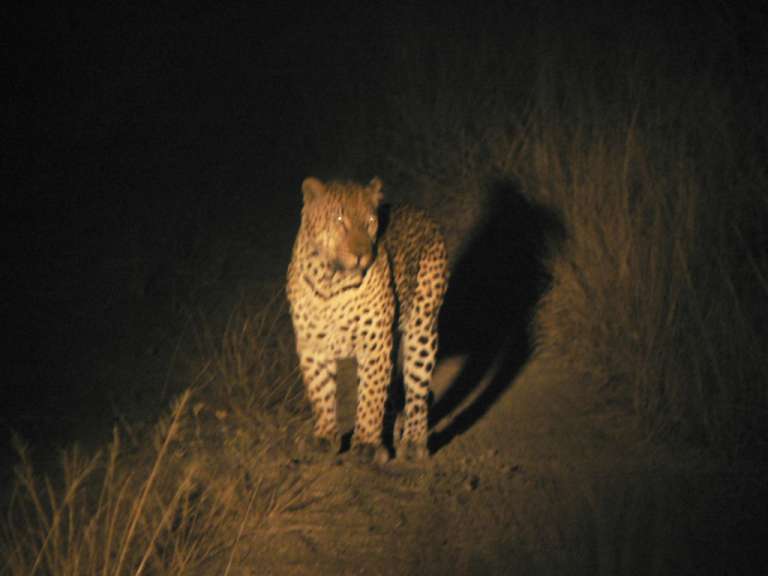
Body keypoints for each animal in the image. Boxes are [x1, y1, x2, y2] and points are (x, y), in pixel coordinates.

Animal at [286, 176, 448, 463]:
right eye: (339, 219)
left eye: (370, 222)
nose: (361, 254)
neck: (330, 281)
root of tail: (420, 212)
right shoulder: (312, 345)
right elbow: (320, 391)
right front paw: (324, 437)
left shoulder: (374, 343)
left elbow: (371, 394)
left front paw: (366, 445)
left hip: (422, 325)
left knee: (416, 387)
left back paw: (413, 441)